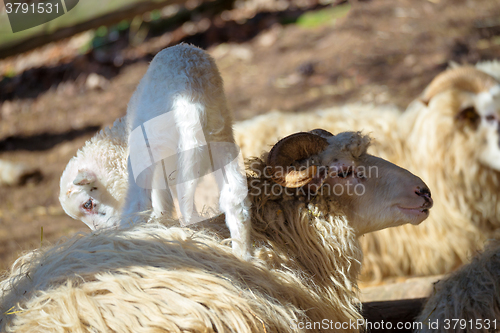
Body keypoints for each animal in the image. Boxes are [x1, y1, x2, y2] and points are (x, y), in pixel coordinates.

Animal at [60, 42, 252, 258]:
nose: (103, 233)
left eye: (88, 204)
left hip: (153, 149)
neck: (119, 142)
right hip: (220, 137)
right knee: (234, 199)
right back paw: (243, 256)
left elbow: (161, 205)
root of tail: (190, 100)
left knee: (138, 206)